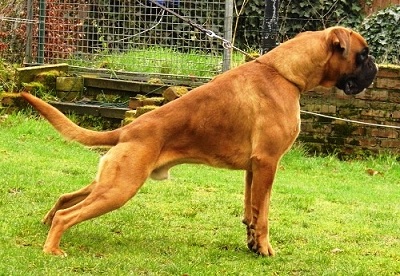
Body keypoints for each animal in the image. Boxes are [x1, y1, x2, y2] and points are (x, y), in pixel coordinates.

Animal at [20, 26, 378, 256]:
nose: (375, 69)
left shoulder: (254, 169)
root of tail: (128, 130)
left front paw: (251, 242)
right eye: (363, 55)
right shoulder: (268, 163)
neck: (285, 73)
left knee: (67, 198)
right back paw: (52, 248)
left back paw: (47, 223)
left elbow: (251, 209)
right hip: (120, 188)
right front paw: (263, 248)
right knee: (69, 214)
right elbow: (263, 214)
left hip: (109, 181)